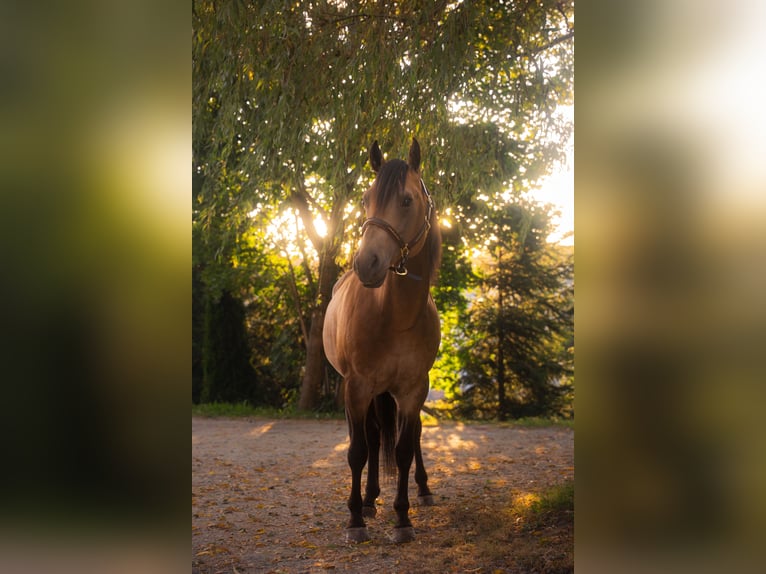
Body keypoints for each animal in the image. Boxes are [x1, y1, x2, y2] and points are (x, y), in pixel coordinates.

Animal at [322, 138, 442, 543]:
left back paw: (422, 489)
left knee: (411, 435)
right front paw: (355, 519)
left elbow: (404, 448)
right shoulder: (356, 387)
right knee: (372, 438)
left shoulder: (414, 388)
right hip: (368, 391)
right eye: (365, 199)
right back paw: (369, 499)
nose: (366, 264)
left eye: (406, 200)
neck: (394, 314)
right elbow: (358, 450)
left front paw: (403, 519)